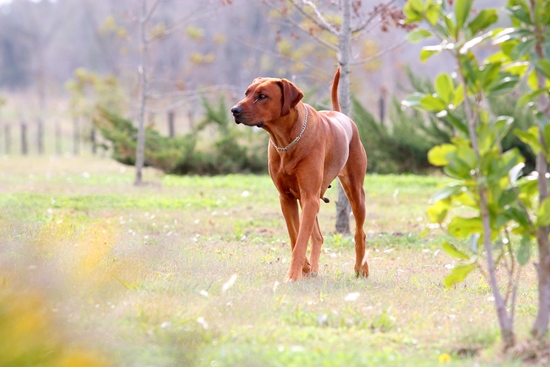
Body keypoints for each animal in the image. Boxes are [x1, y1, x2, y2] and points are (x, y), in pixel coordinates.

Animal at [231, 67, 368, 284]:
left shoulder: (310, 197)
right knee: (318, 236)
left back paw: (361, 269)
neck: (287, 140)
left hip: (355, 191)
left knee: (359, 232)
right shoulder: (287, 197)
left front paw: (293, 275)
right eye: (247, 93)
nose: (234, 110)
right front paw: (303, 268)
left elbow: (301, 239)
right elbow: (295, 237)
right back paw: (313, 270)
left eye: (262, 96)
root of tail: (341, 114)